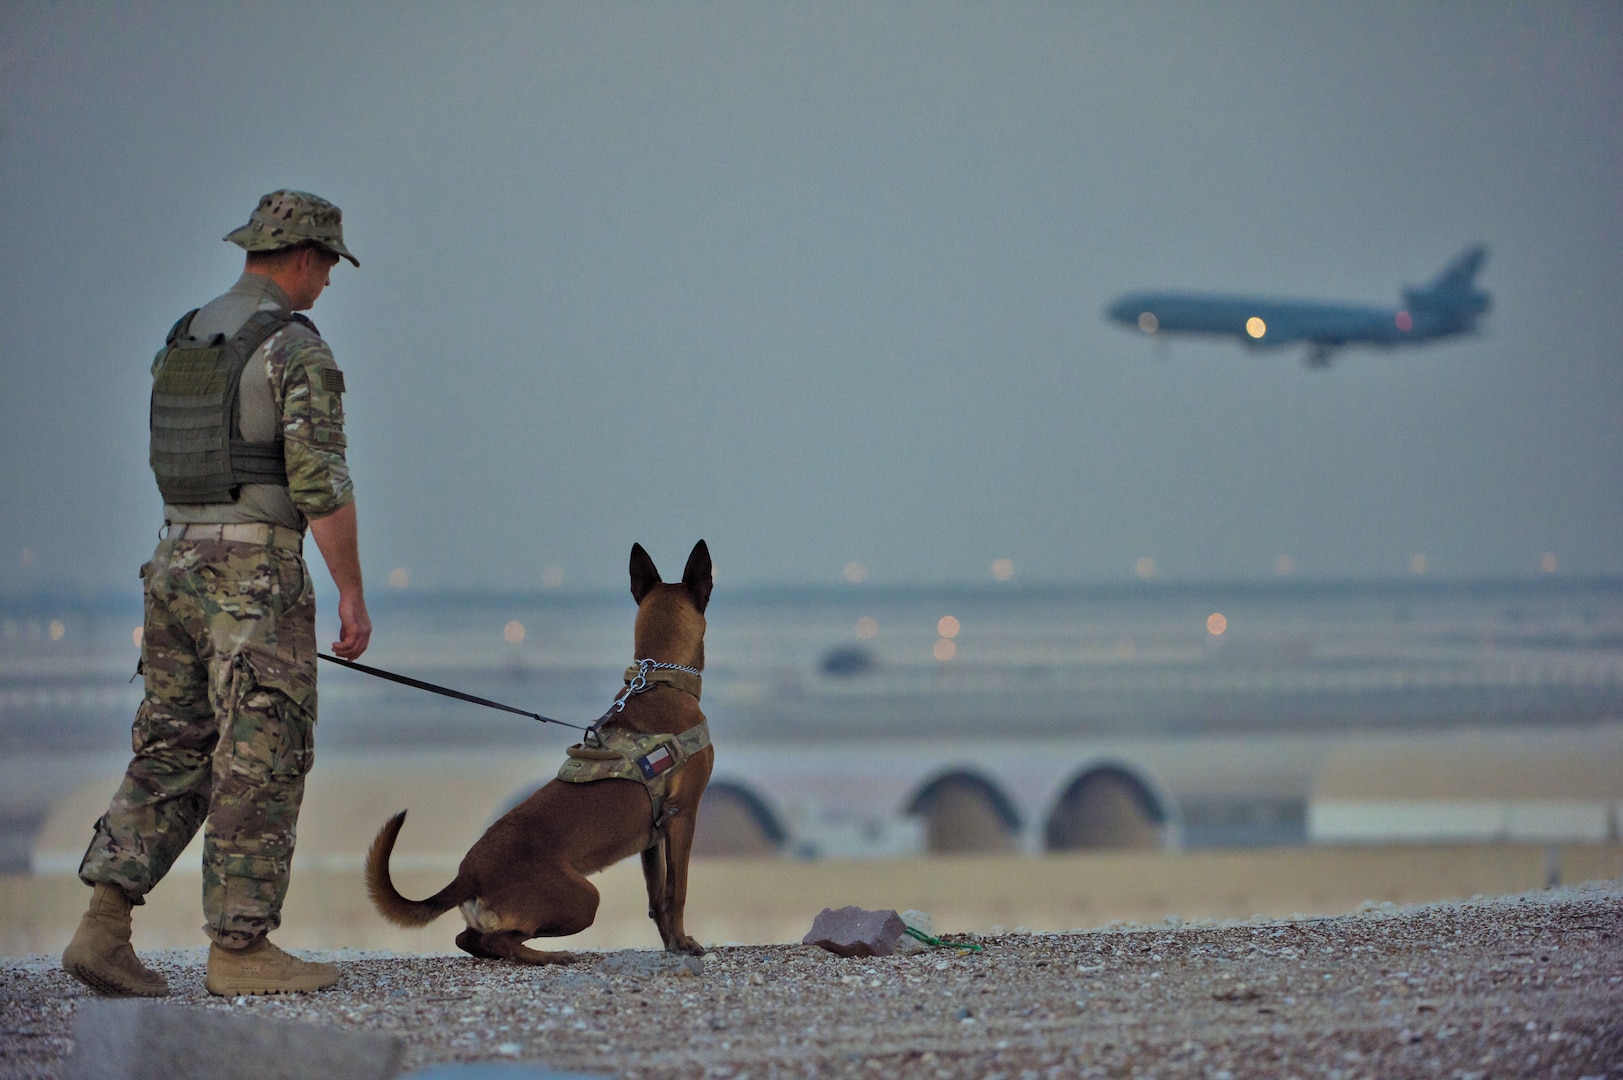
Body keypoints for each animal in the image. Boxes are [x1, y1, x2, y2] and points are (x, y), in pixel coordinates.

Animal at [371, 539, 720, 961]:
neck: (660, 681)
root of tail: (467, 874)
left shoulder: (652, 840)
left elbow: (657, 898)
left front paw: (671, 945)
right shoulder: (683, 816)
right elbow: (677, 891)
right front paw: (684, 944)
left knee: (470, 939)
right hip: (584, 899)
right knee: (501, 939)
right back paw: (550, 956)